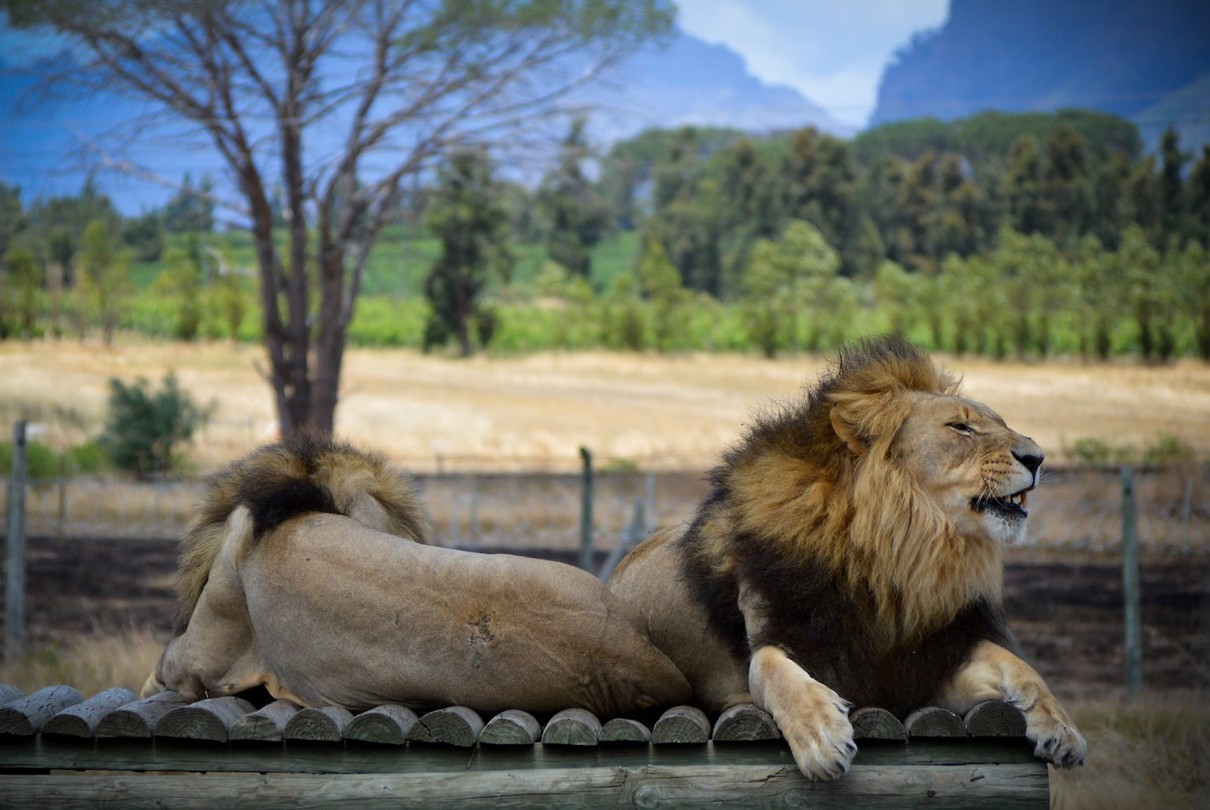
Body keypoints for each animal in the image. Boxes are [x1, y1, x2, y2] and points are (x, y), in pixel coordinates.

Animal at [608, 336, 1086, 780]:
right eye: (961, 428)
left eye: (1001, 422)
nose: (1038, 458)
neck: (899, 553)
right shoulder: (784, 638)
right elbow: (770, 668)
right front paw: (822, 737)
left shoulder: (920, 664)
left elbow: (1019, 666)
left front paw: (1061, 727)